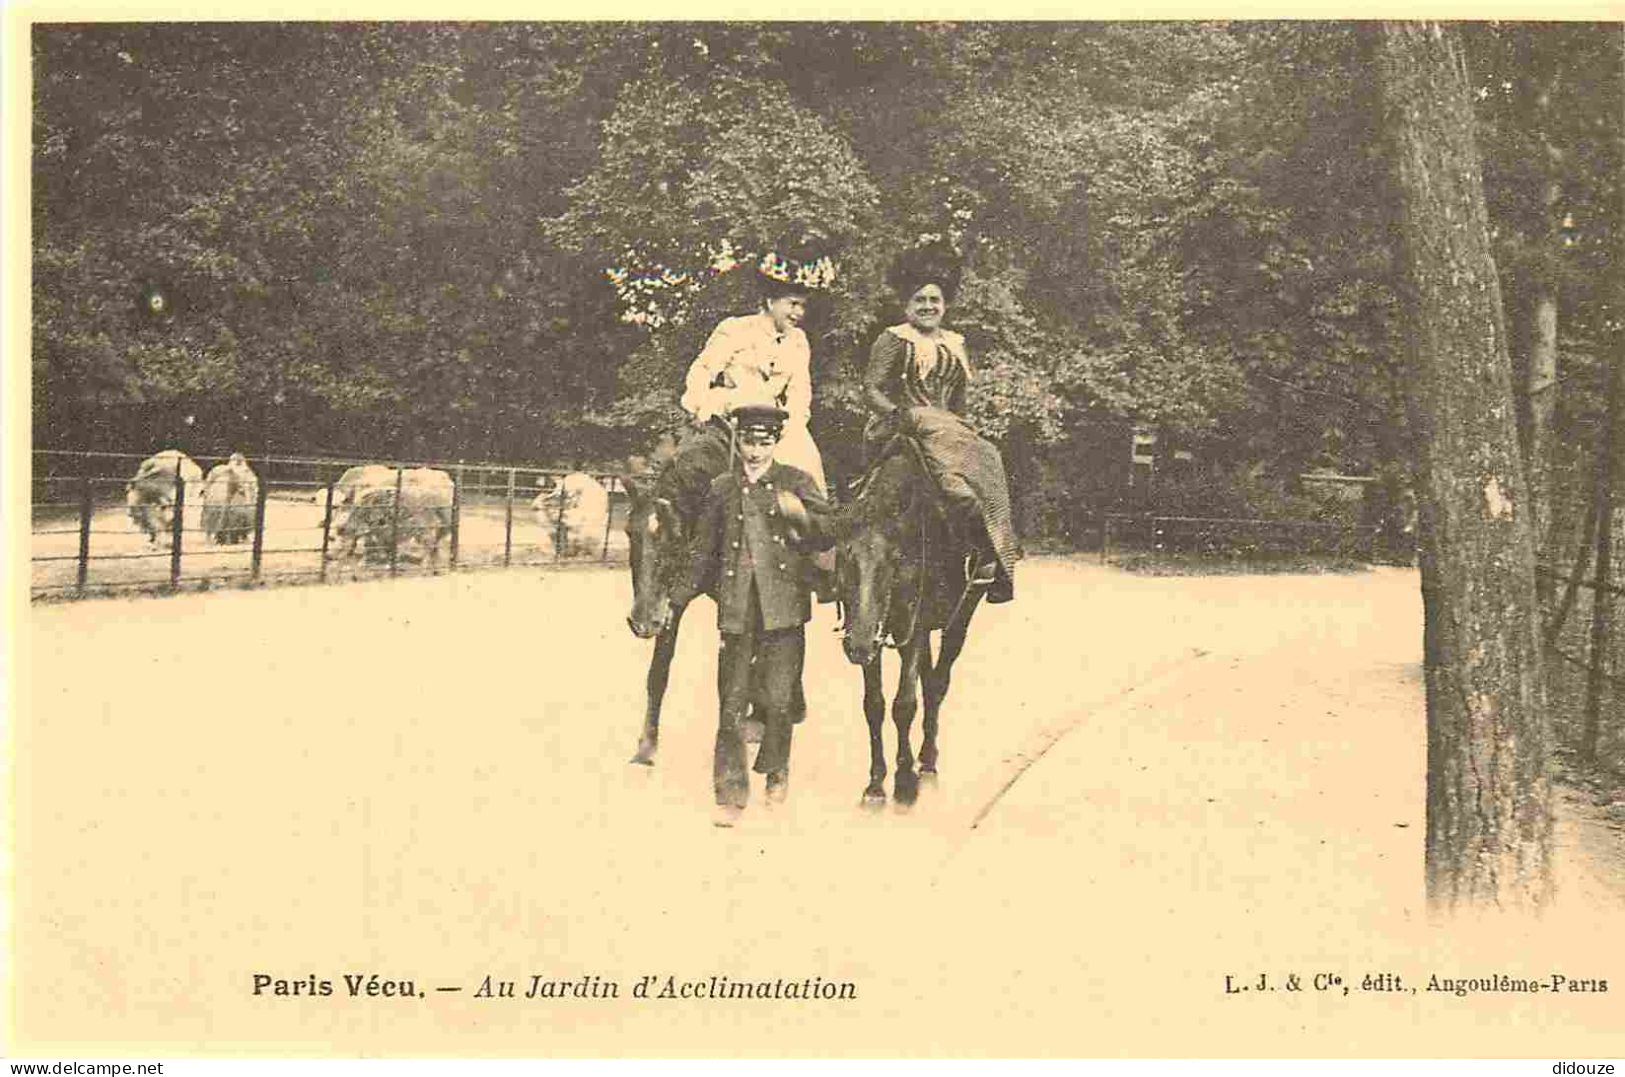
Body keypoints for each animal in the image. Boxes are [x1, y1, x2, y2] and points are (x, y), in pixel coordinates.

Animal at [832, 441, 981, 808]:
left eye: (893, 560)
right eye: (844, 558)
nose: (857, 645)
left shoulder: (912, 630)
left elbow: (904, 704)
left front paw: (903, 783)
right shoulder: (879, 635)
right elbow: (874, 705)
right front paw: (875, 784)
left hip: (960, 616)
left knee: (937, 683)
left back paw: (927, 763)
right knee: (927, 680)